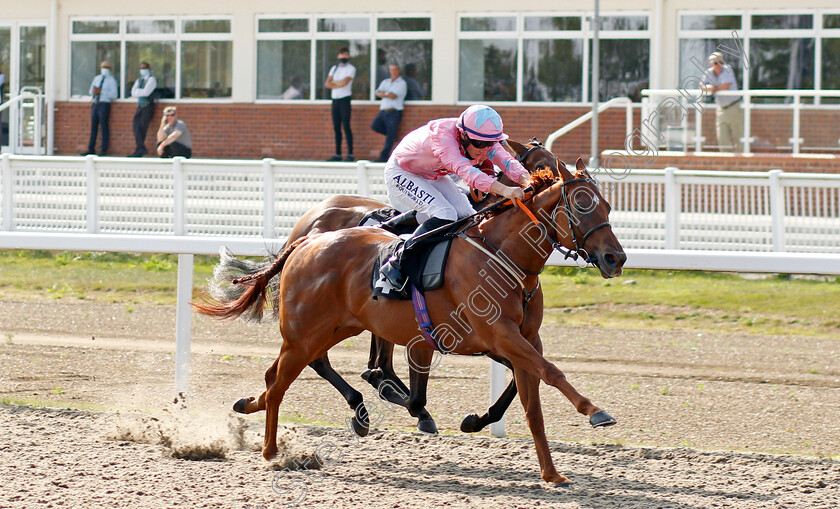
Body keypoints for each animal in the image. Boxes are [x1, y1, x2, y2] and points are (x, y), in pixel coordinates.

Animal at [195, 160, 624, 484]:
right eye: (581, 207)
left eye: (606, 206)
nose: (615, 258)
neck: (504, 257)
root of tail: (306, 241)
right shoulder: (499, 335)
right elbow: (550, 372)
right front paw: (594, 411)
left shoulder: (520, 340)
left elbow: (529, 402)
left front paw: (551, 473)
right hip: (305, 333)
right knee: (282, 382)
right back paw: (272, 451)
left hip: (336, 328)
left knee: (278, 375)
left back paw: (255, 408)